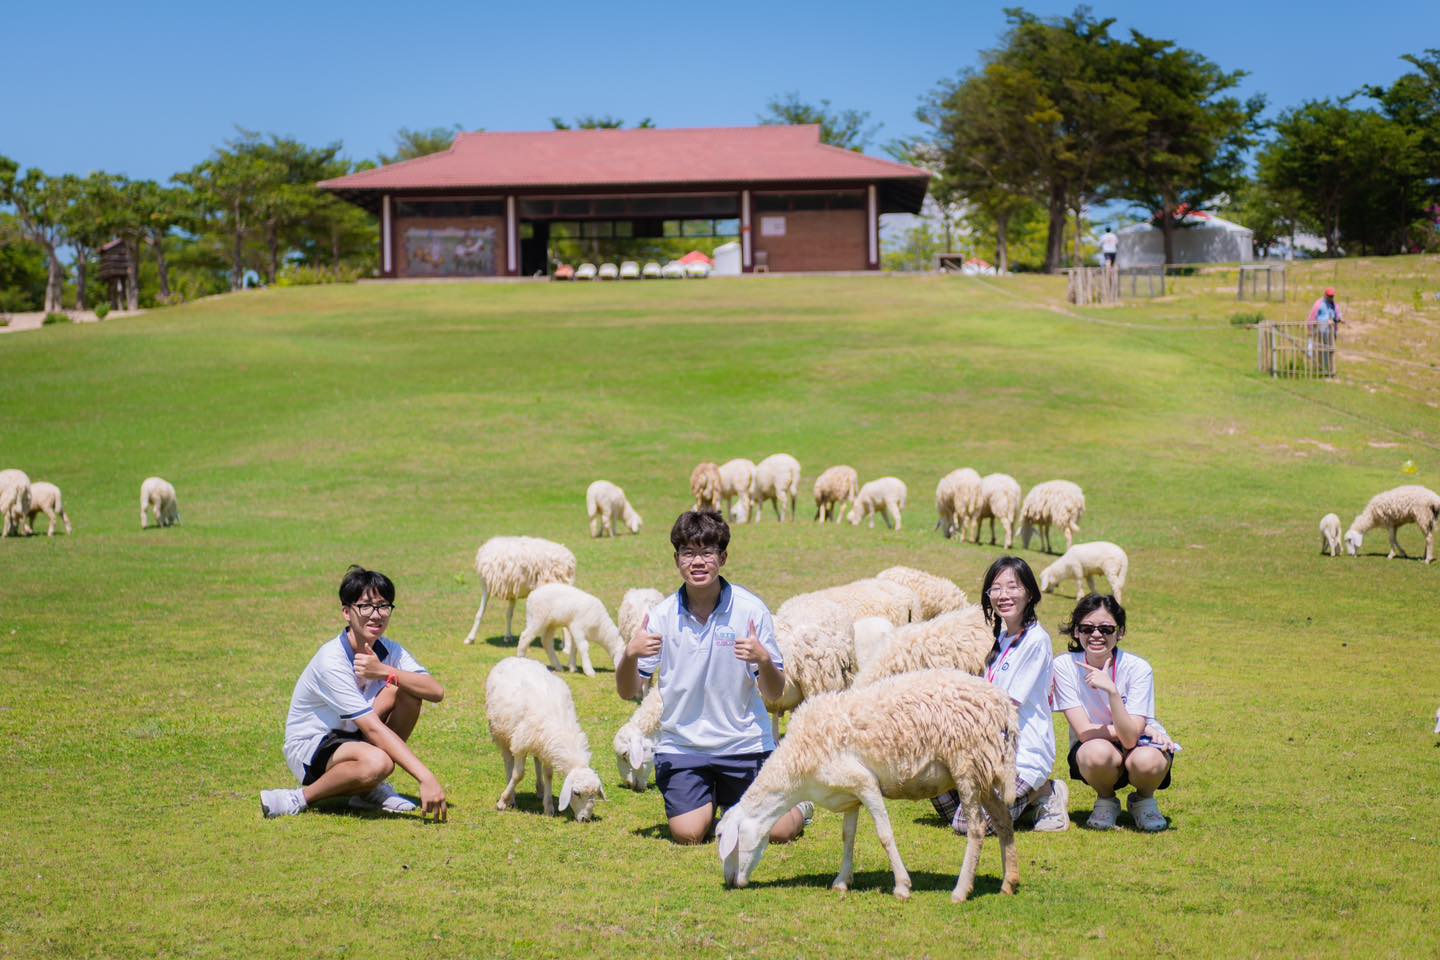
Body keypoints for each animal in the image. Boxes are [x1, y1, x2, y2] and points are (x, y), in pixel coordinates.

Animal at [483, 656, 607, 823]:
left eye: (594, 794)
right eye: (576, 793)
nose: (584, 819)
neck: (562, 727)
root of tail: (513, 658)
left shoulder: (548, 747)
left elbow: (548, 775)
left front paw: (548, 807)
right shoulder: (521, 743)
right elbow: (518, 775)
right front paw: (503, 801)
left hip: (538, 742)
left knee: (536, 760)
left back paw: (540, 789)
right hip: (501, 731)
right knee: (508, 761)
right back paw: (511, 797)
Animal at [714, 667, 1019, 903]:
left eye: (722, 838)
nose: (729, 882)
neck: (798, 767)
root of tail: (1000, 703)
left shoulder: (865, 782)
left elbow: (885, 835)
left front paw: (902, 887)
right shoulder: (849, 792)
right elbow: (847, 836)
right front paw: (842, 881)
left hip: (966, 765)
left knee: (977, 828)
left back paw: (961, 891)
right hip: (982, 771)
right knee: (1003, 818)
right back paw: (1009, 882)